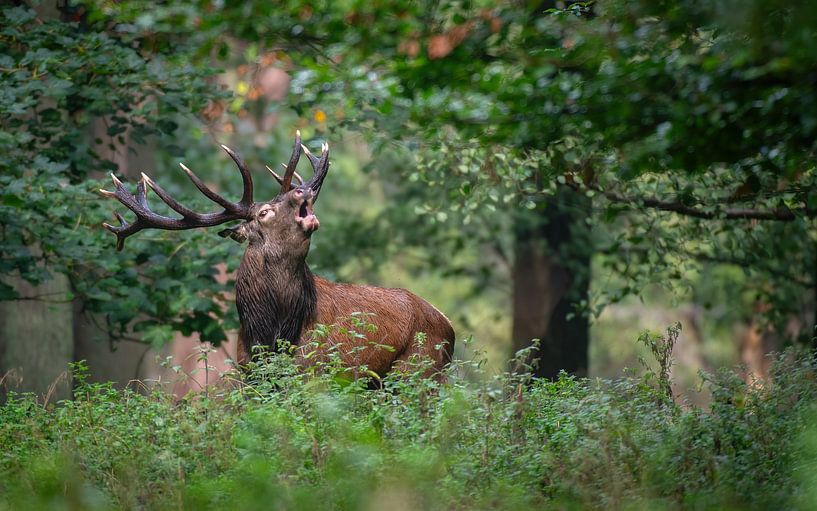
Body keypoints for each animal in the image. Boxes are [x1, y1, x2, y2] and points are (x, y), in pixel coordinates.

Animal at [99, 132, 455, 379]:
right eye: (265, 212)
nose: (302, 189)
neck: (271, 331)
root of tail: (450, 329)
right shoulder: (250, 373)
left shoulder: (321, 373)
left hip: (419, 371)